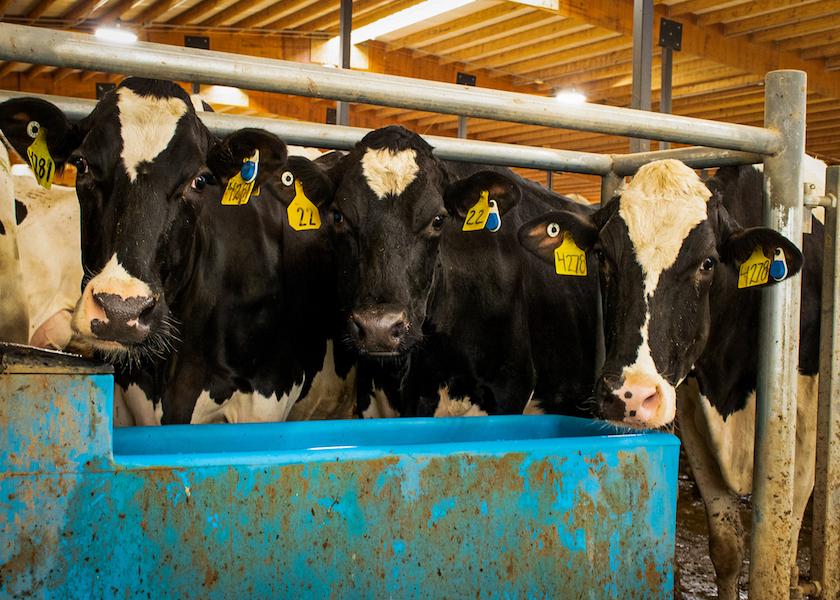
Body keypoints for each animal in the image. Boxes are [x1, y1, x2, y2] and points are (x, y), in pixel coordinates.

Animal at [518, 158, 819, 598]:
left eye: (708, 262)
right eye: (603, 257)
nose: (630, 395)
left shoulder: (800, 425)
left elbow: (782, 543)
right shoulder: (693, 415)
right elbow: (726, 547)